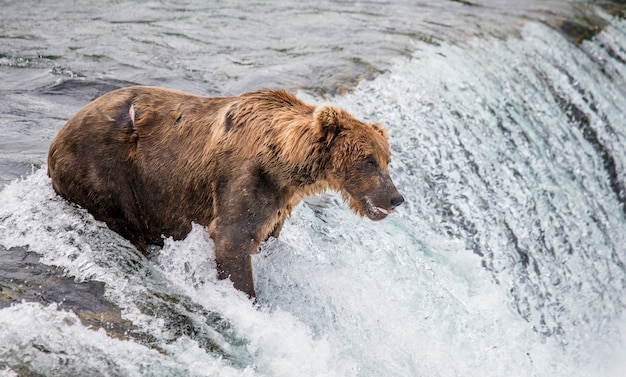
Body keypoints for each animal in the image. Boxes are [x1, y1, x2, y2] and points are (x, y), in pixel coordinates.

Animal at [46, 86, 402, 296]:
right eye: (368, 160)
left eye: (386, 159)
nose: (396, 198)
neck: (285, 163)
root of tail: (56, 139)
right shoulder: (243, 179)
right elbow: (233, 241)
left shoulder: (278, 203)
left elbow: (265, 236)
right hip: (108, 175)